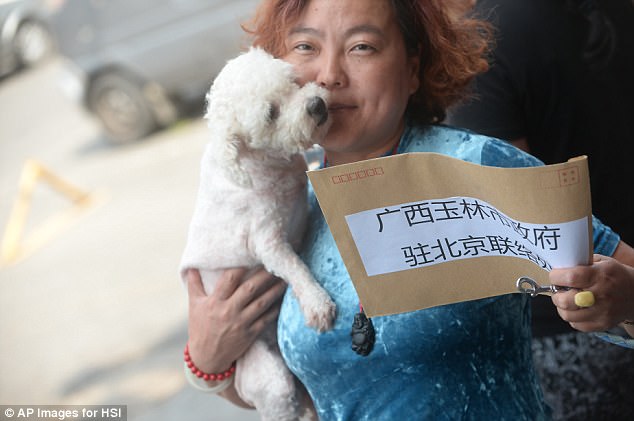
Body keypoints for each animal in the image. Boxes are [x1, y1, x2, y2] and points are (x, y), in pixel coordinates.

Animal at [178, 47, 336, 418]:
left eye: (293, 81)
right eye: (270, 114)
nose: (316, 105)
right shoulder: (267, 243)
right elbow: (295, 268)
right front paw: (317, 303)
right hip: (270, 381)